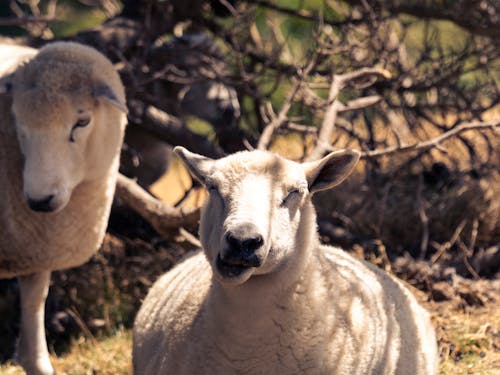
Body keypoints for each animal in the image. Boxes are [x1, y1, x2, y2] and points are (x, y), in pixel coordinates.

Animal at [0, 41, 127, 375]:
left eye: (82, 121)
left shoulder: (35, 249)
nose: (39, 200)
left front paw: (36, 362)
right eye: (19, 123)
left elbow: (34, 300)